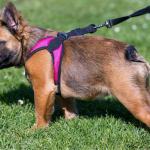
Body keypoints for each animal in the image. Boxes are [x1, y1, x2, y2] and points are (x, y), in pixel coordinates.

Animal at [0, 2, 150, 130]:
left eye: (0, 43)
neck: (30, 43)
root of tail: (130, 52)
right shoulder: (59, 90)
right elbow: (68, 107)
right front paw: (70, 122)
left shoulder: (42, 89)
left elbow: (41, 112)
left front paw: (37, 129)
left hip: (132, 97)